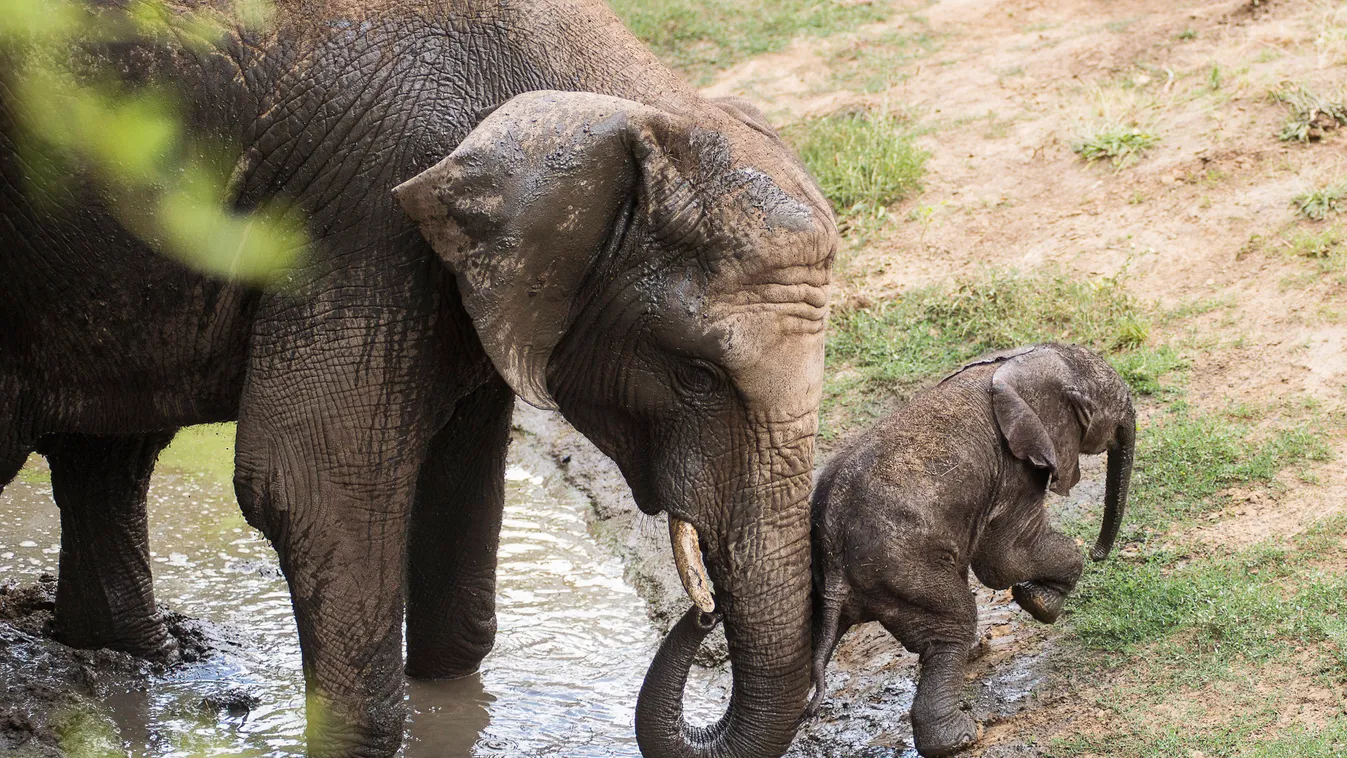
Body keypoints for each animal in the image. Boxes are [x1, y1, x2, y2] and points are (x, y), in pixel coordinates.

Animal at [0, 1, 835, 758]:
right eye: (696, 370)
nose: (701, 614)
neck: (616, 105)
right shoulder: (363, 217)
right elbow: (310, 485)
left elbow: (461, 512)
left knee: (110, 458)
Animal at [802, 344, 1131, 758]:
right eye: (1115, 404)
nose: (1102, 553)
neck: (1014, 366)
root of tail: (833, 559)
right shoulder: (1015, 467)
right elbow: (1001, 560)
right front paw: (1042, 603)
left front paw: (1038, 599)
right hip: (902, 572)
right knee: (953, 623)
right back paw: (962, 736)